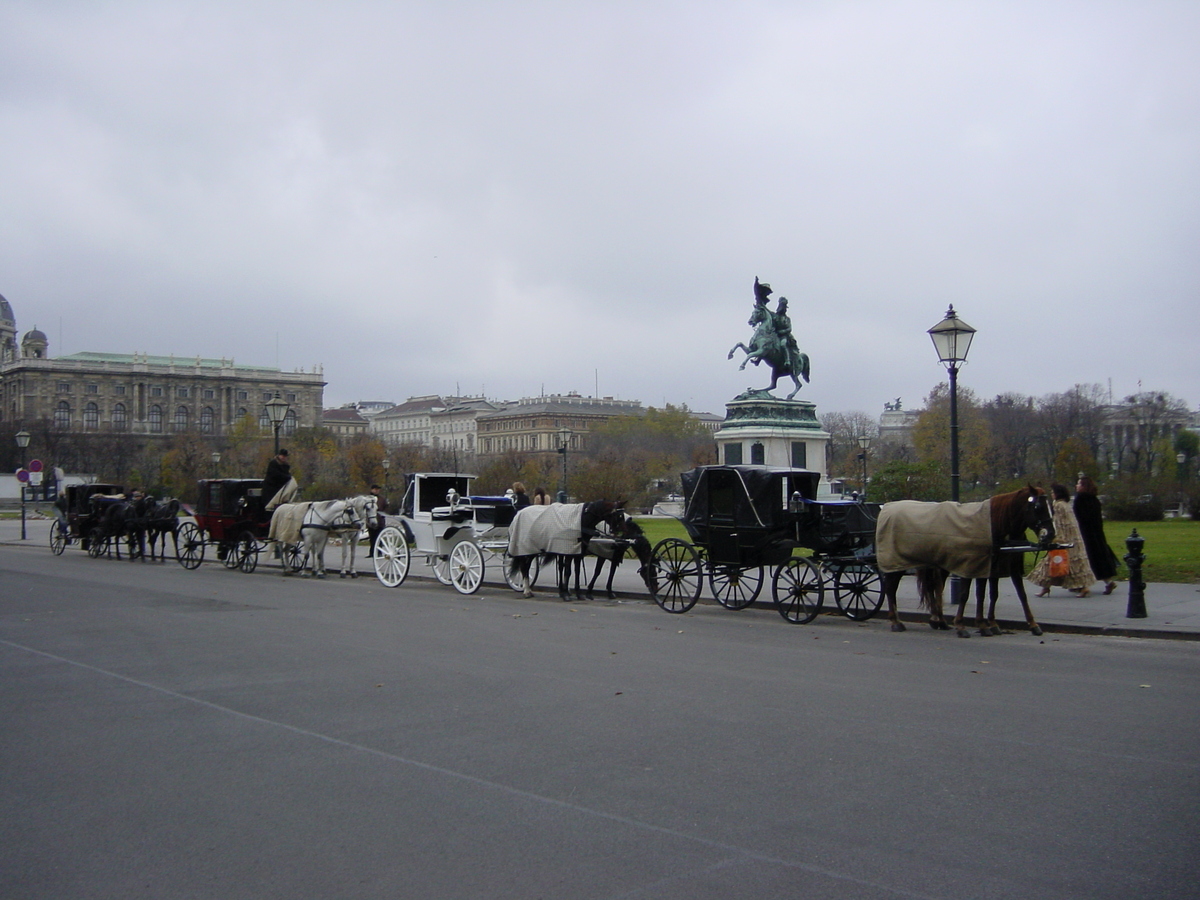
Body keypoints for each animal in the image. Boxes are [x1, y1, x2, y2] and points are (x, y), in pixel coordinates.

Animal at [878, 487, 1056, 643]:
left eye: (1051, 506)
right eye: (1038, 507)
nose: (1050, 534)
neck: (992, 526)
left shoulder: (990, 567)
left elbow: (996, 594)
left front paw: (988, 625)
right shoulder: (969, 565)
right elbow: (965, 595)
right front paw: (963, 625)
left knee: (935, 587)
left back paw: (938, 621)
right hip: (896, 563)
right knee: (891, 588)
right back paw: (896, 621)